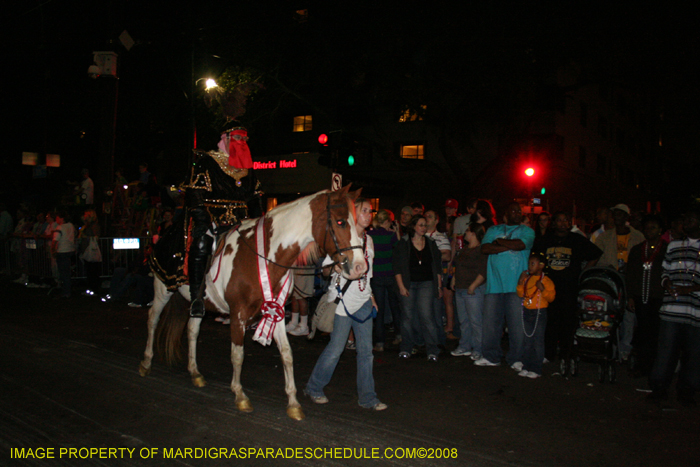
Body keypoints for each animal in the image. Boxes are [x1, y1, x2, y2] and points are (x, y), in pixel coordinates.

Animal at [137, 186, 366, 420]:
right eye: (340, 222)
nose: (360, 267)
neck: (265, 256)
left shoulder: (276, 312)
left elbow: (286, 354)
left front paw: (293, 403)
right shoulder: (238, 313)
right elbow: (238, 354)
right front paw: (240, 395)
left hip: (197, 303)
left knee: (192, 330)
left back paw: (195, 372)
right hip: (162, 289)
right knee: (152, 320)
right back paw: (146, 363)